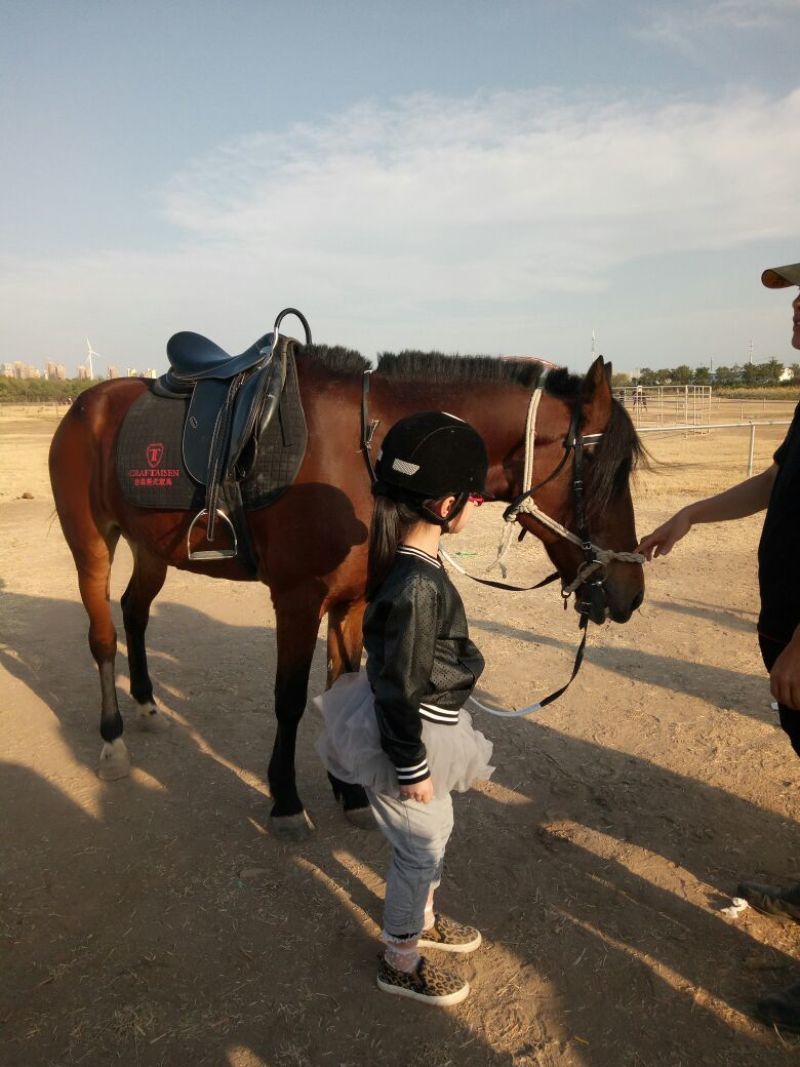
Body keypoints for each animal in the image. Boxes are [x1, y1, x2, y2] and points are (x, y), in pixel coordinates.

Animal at [49, 341, 645, 837]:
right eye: (604, 471)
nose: (630, 593)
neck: (367, 452)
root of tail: (88, 403)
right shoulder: (297, 600)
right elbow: (289, 699)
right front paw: (286, 801)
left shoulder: (354, 602)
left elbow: (343, 686)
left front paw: (351, 791)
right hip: (92, 544)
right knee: (102, 637)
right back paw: (112, 741)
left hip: (151, 548)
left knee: (134, 612)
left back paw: (147, 705)